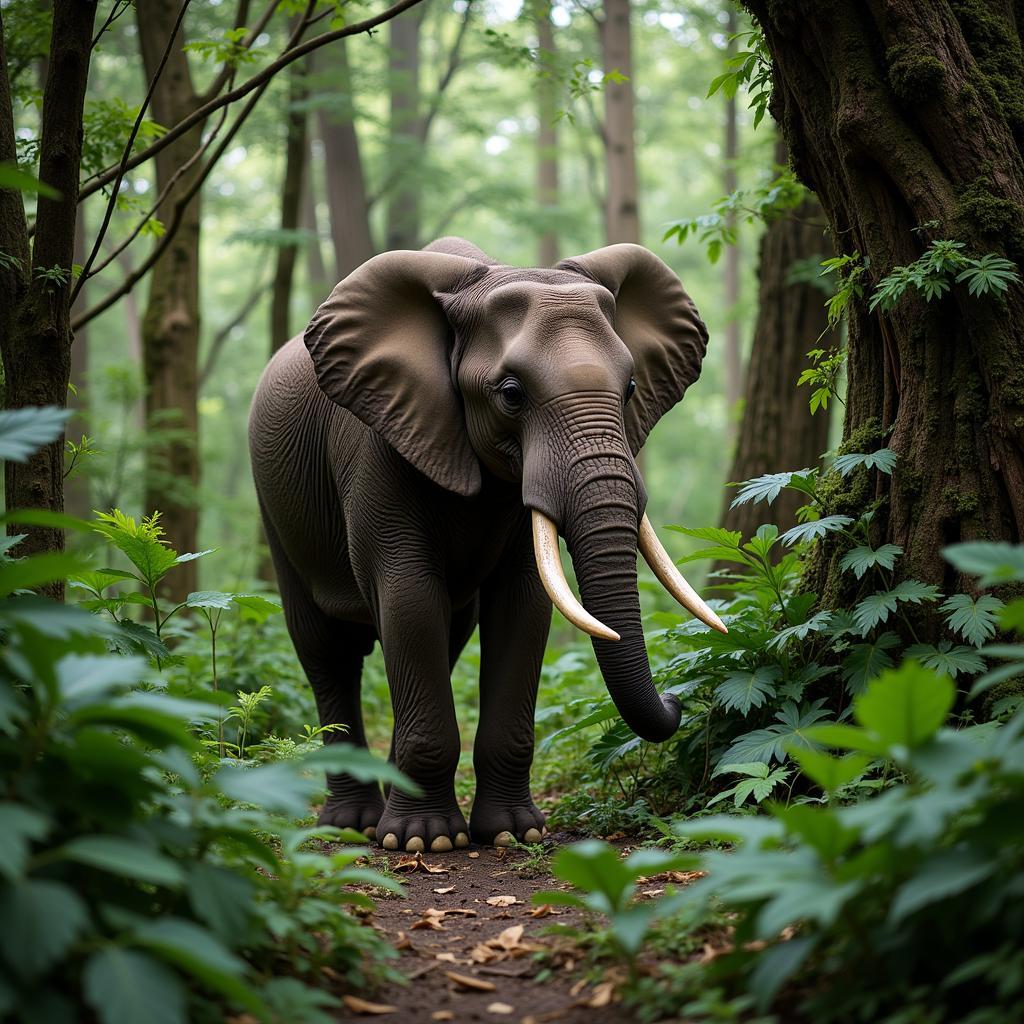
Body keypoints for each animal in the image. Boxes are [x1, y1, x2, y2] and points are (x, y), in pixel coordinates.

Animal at [248, 235, 724, 851]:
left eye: (632, 388)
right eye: (512, 394)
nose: (675, 700)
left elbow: (521, 605)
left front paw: (513, 834)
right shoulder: (380, 441)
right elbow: (407, 596)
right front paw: (423, 841)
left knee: (444, 636)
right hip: (274, 507)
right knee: (326, 649)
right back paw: (353, 826)